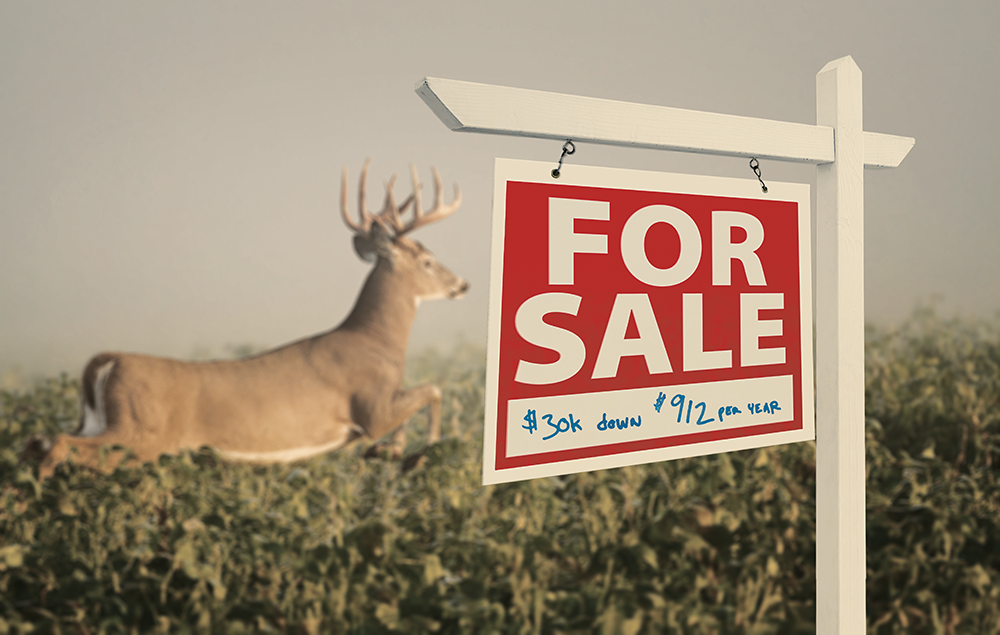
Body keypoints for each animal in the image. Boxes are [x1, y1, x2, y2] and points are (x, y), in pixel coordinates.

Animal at [26, 160, 469, 479]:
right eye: (428, 261)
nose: (462, 284)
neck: (375, 341)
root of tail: (108, 361)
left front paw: (390, 452)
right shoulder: (371, 407)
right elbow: (433, 390)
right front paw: (408, 454)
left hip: (99, 424)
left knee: (39, 441)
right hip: (137, 435)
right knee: (60, 446)